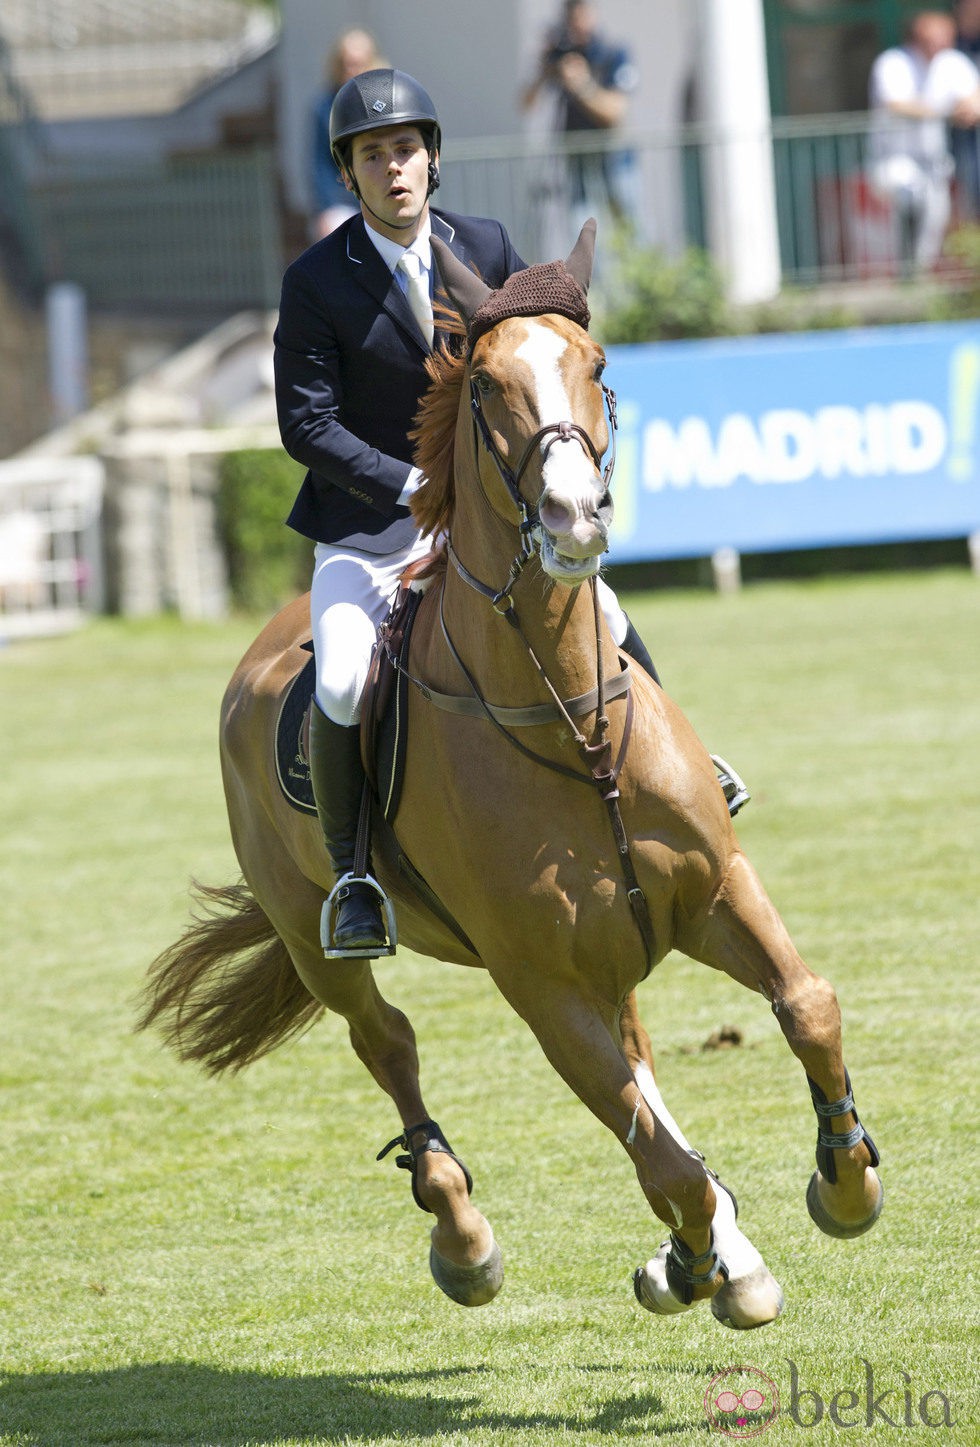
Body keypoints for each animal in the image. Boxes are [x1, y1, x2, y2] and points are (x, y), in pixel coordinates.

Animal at [141, 222, 880, 1325]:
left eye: (598, 366)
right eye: (484, 384)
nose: (574, 518)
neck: (570, 722)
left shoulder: (714, 890)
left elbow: (806, 1005)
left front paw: (842, 1184)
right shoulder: (539, 984)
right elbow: (651, 1150)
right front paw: (694, 1253)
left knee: (639, 1053)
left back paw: (725, 1251)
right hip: (320, 938)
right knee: (389, 1042)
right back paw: (468, 1237)